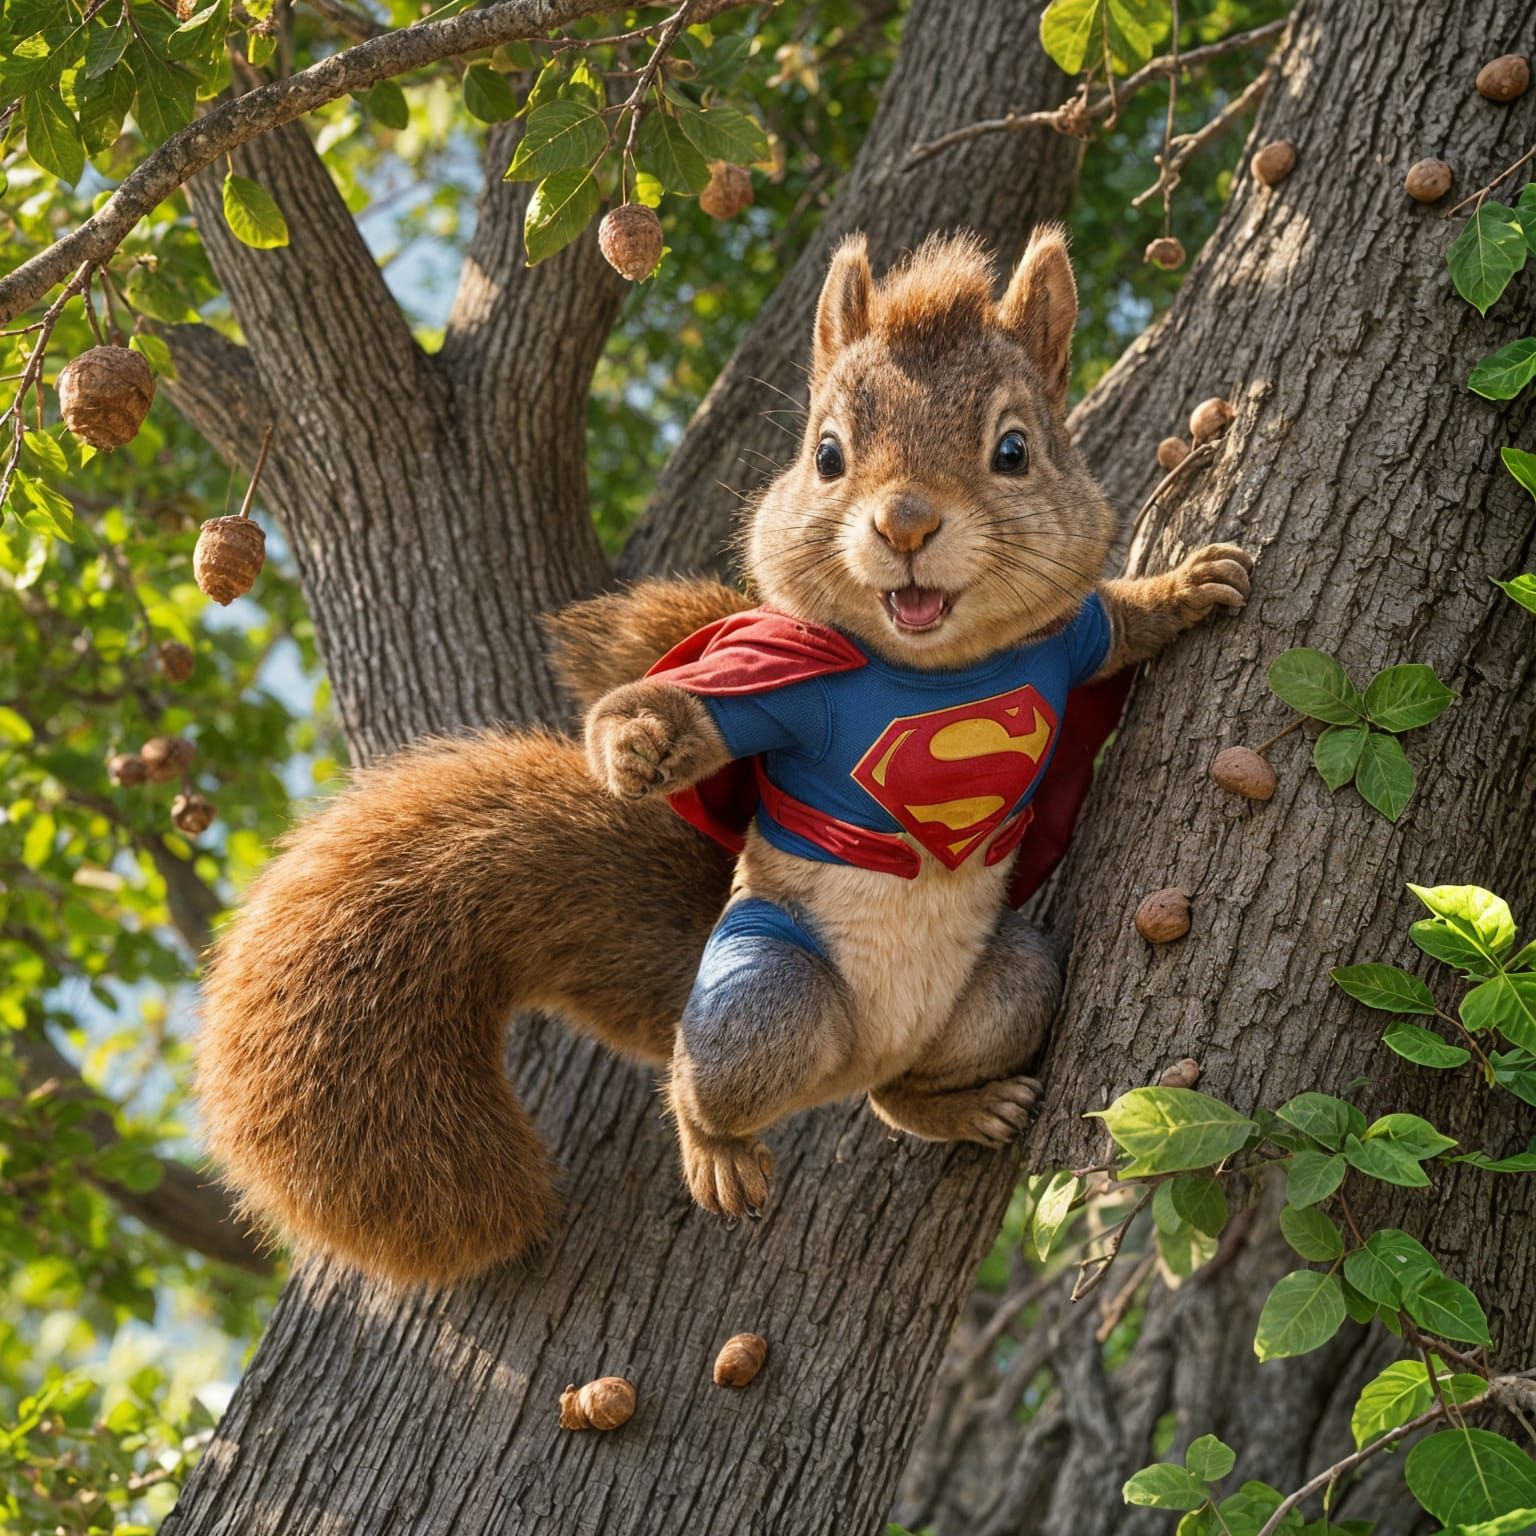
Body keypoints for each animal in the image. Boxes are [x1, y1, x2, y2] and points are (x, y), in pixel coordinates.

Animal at [196, 227, 1253, 1287]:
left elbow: (1110, 628)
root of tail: (856, 1060)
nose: (905, 522)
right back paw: (714, 1145)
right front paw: (640, 741)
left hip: (1007, 989)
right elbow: (709, 715)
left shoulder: (1061, 645)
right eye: (825, 455)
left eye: (1014, 450)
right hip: (765, 999)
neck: (934, 668)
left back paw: (955, 1103)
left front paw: (1182, 588)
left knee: (904, 1090)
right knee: (706, 1071)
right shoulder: (792, 690)